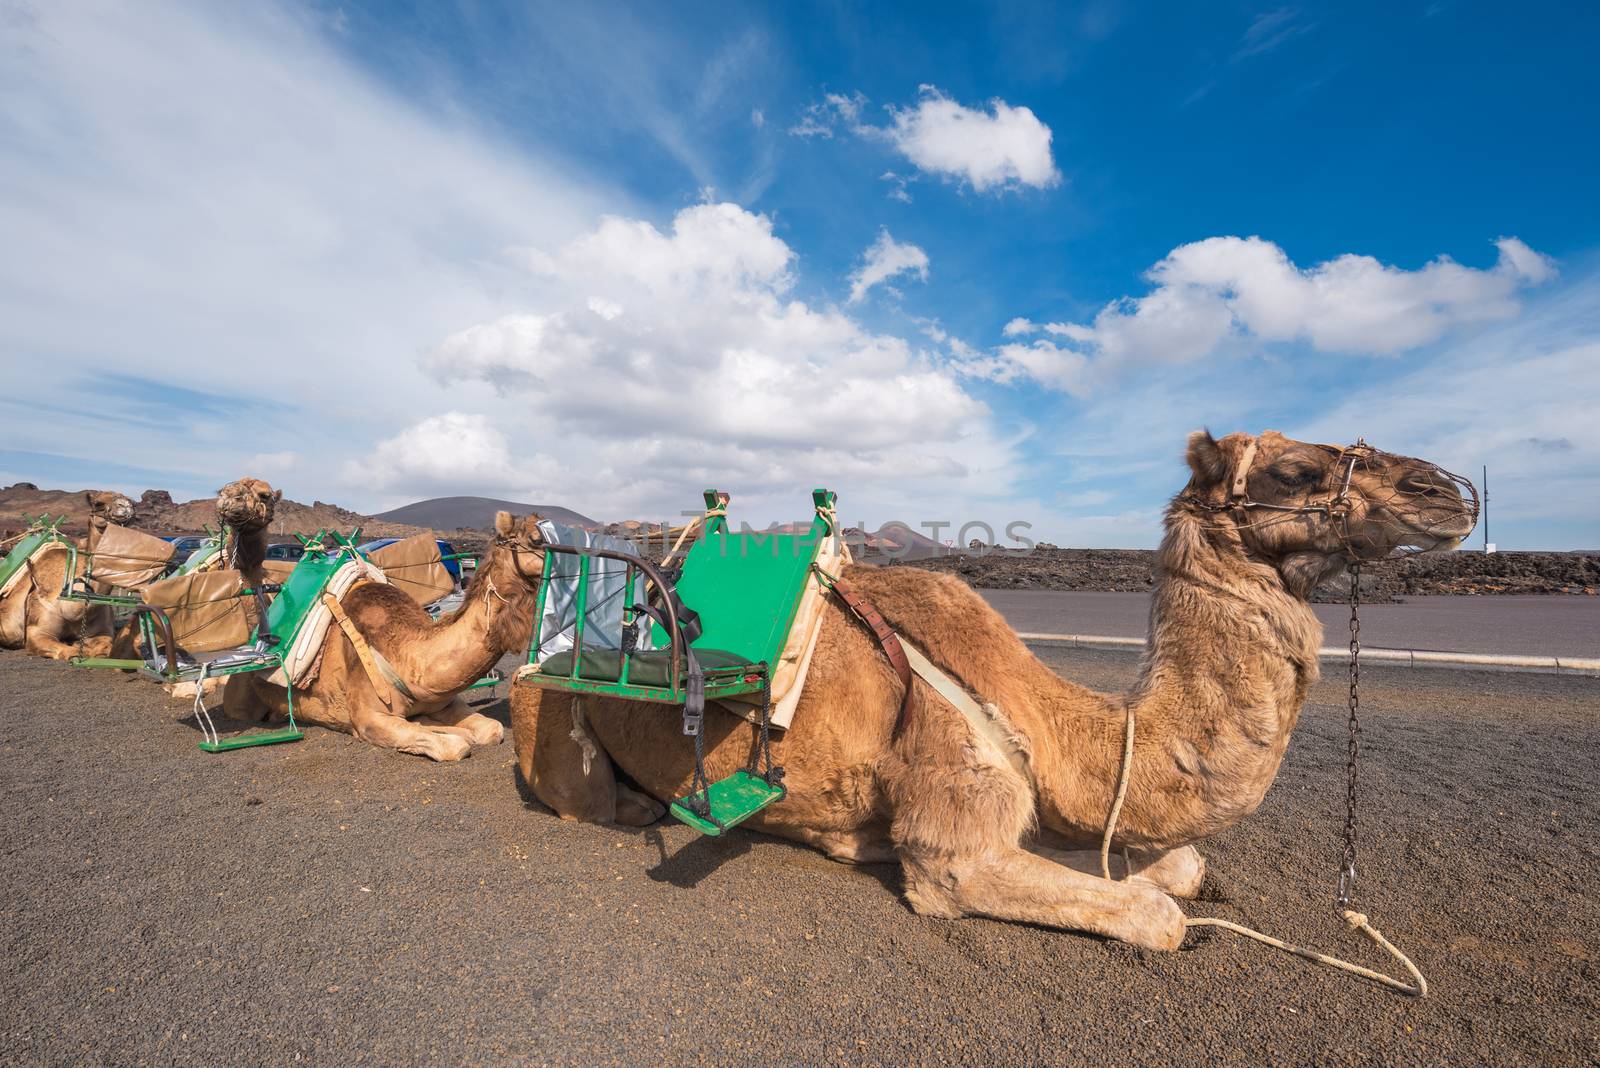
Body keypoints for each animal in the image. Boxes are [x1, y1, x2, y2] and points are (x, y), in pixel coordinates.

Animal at [0, 492, 134, 658]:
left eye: (131, 500)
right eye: (97, 502)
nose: (125, 505)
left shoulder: (103, 632)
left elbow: (106, 647)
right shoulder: (37, 633)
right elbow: (71, 652)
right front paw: (78, 647)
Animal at [217, 508, 550, 757]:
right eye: (537, 539)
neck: (410, 657)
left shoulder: (445, 699)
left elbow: (492, 729)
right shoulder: (369, 718)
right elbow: (454, 746)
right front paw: (446, 732)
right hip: (241, 700)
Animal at [508, 434, 1472, 952]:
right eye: (1295, 472)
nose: (1448, 490)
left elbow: (1175, 865)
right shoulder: (954, 839)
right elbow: (1153, 911)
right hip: (545, 704)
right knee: (577, 787)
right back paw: (635, 807)